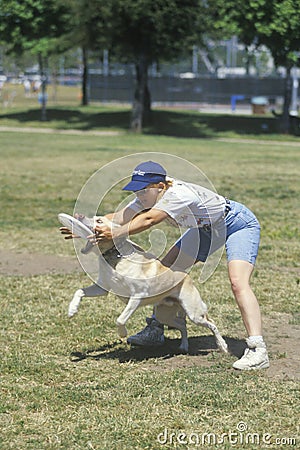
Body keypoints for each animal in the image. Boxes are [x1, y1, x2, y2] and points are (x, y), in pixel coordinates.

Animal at [67, 216, 227, 354]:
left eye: (99, 220)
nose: (79, 216)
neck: (115, 257)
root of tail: (188, 277)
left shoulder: (137, 295)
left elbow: (120, 319)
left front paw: (122, 333)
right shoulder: (102, 288)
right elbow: (79, 291)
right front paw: (72, 310)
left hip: (194, 313)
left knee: (212, 323)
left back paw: (222, 346)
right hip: (164, 315)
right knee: (183, 325)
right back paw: (184, 346)